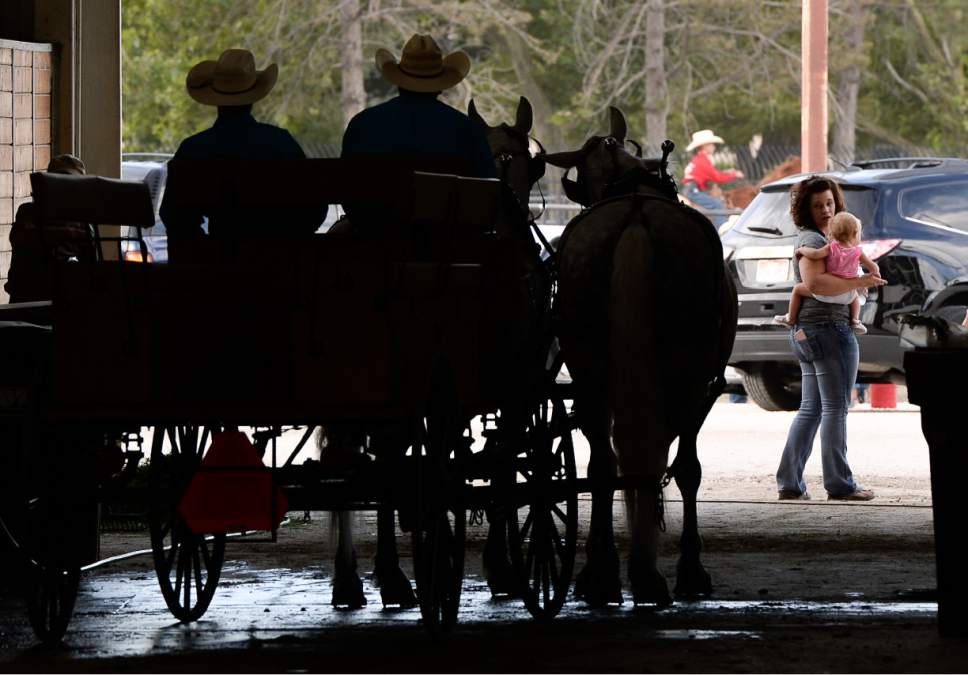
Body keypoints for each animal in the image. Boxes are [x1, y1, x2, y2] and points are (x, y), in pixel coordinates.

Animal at [540, 107, 736, 608]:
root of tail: (634, 215)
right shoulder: (707, 387)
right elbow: (687, 468)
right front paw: (689, 568)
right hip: (689, 375)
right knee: (674, 464)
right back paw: (661, 573)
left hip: (588, 370)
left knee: (602, 467)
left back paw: (603, 575)